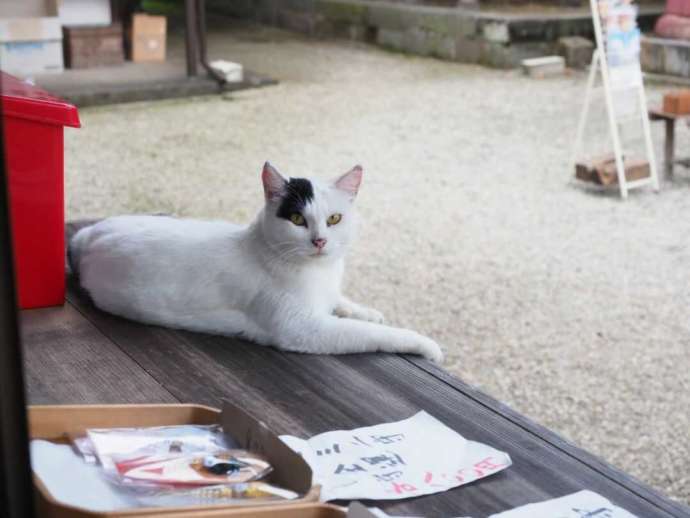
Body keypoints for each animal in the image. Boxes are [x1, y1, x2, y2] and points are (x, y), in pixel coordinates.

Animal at [70, 165, 444, 364]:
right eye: (297, 219)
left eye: (335, 219)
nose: (320, 241)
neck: (320, 273)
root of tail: (91, 234)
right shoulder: (304, 329)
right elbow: (371, 334)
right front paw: (425, 344)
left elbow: (345, 303)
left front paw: (367, 310)